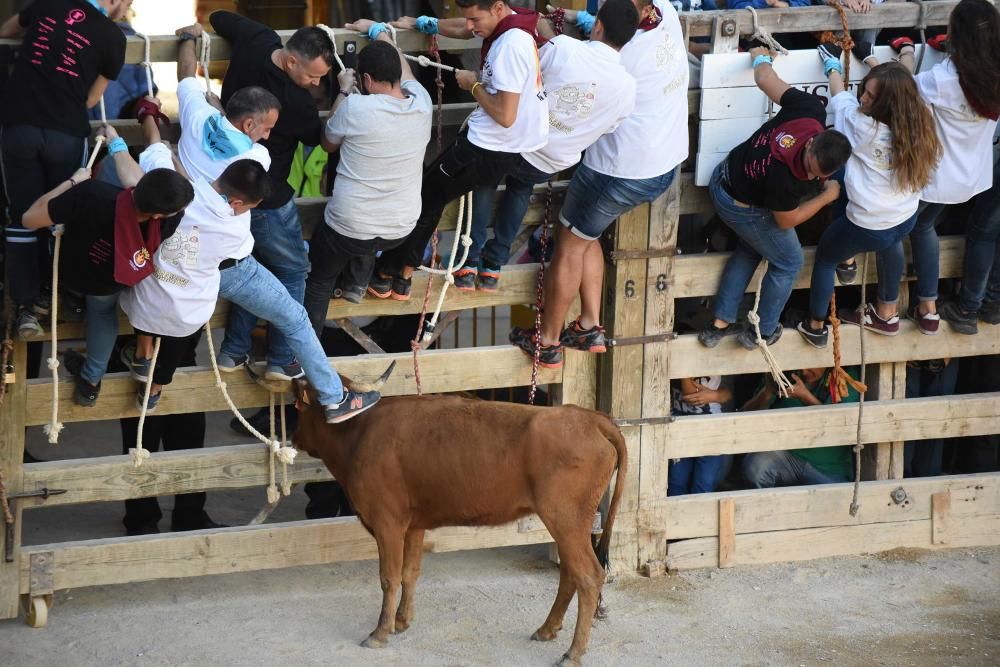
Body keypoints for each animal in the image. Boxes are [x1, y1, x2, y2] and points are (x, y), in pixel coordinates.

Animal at [292, 374, 628, 664]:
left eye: (296, 405)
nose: (294, 439)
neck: (358, 433)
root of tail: (588, 418)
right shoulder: (414, 524)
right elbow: (409, 572)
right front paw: (402, 620)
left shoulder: (388, 522)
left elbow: (389, 577)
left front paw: (380, 632)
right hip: (568, 525)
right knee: (570, 573)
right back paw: (547, 629)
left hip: (565, 520)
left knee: (589, 576)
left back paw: (573, 653)